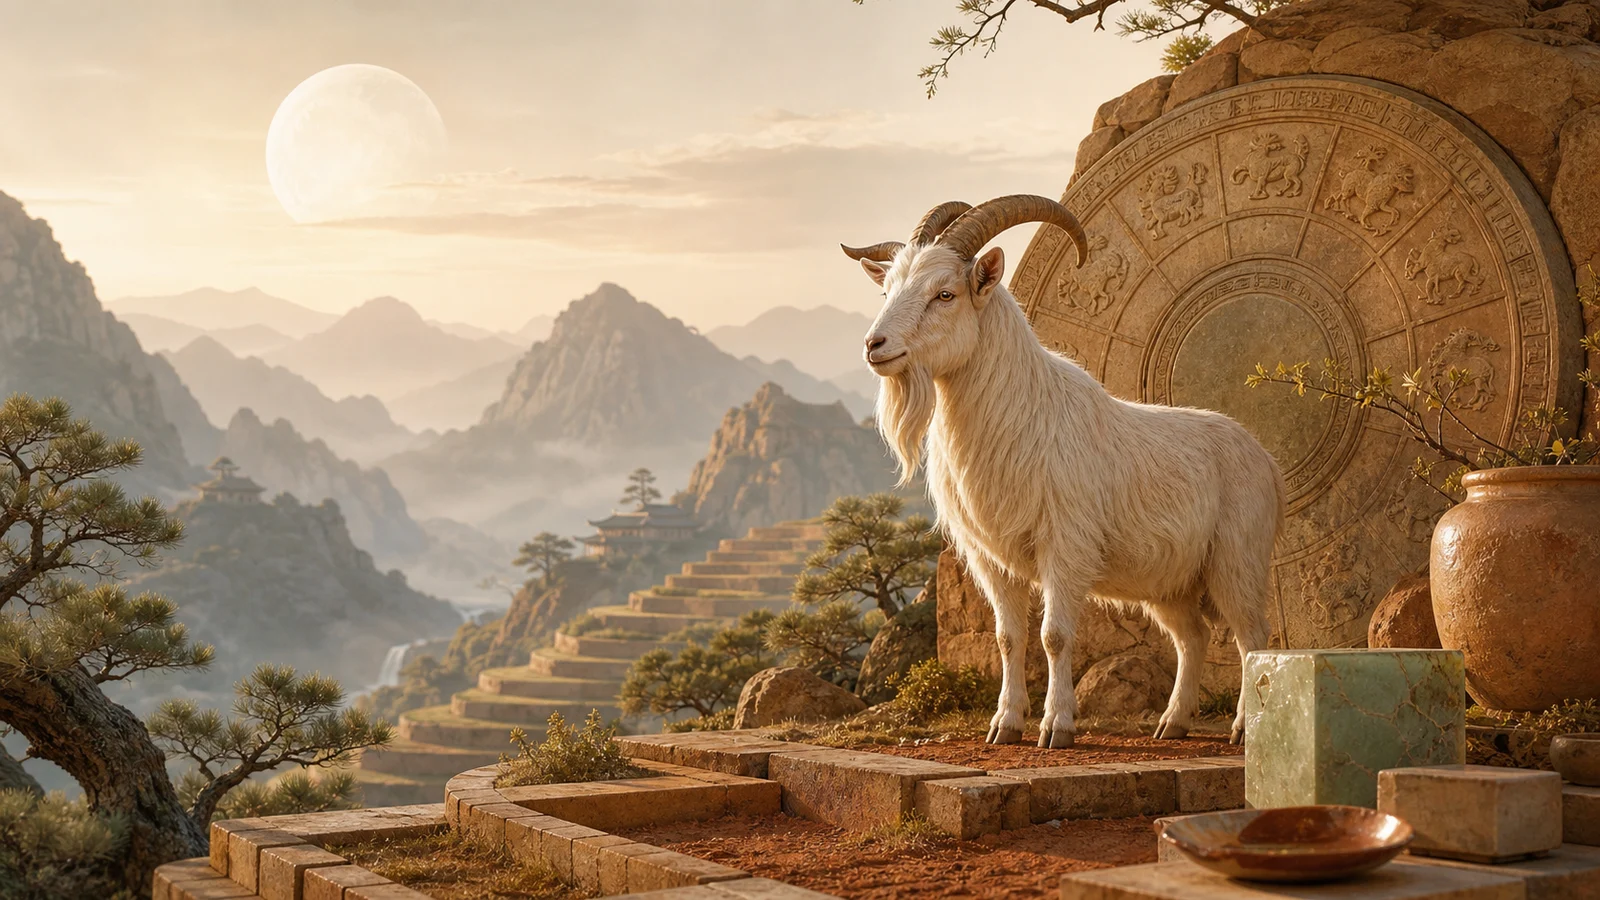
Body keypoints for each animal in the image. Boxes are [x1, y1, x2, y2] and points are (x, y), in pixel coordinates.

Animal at [842, 196, 1284, 748]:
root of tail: (1264, 459)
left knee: (1252, 637)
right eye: (887, 290)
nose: (874, 345)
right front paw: (1005, 725)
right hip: (1170, 582)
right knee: (1193, 637)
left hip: (1236, 561)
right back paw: (1172, 723)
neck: (1022, 414)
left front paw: (1056, 726)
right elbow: (1008, 638)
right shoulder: (993, 559)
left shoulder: (1065, 547)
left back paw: (1244, 729)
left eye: (945, 293)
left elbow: (1053, 636)